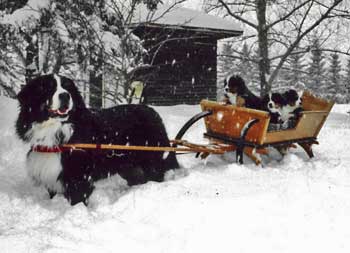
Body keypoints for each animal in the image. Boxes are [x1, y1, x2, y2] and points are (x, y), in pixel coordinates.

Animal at [15, 74, 179, 205]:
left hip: (150, 159)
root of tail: (153, 111)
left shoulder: (78, 175)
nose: (65, 96)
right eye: (48, 88)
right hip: (128, 165)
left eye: (68, 88)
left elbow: (77, 199)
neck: (55, 129)